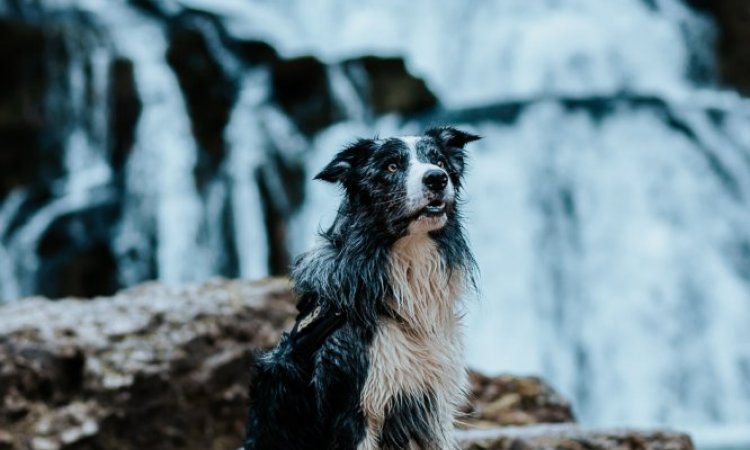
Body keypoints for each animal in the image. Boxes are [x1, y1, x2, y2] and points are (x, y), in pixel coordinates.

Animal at [247, 126, 482, 450]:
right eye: (392, 166)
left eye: (439, 161)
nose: (437, 178)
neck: (409, 254)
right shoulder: (357, 408)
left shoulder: (431, 406)